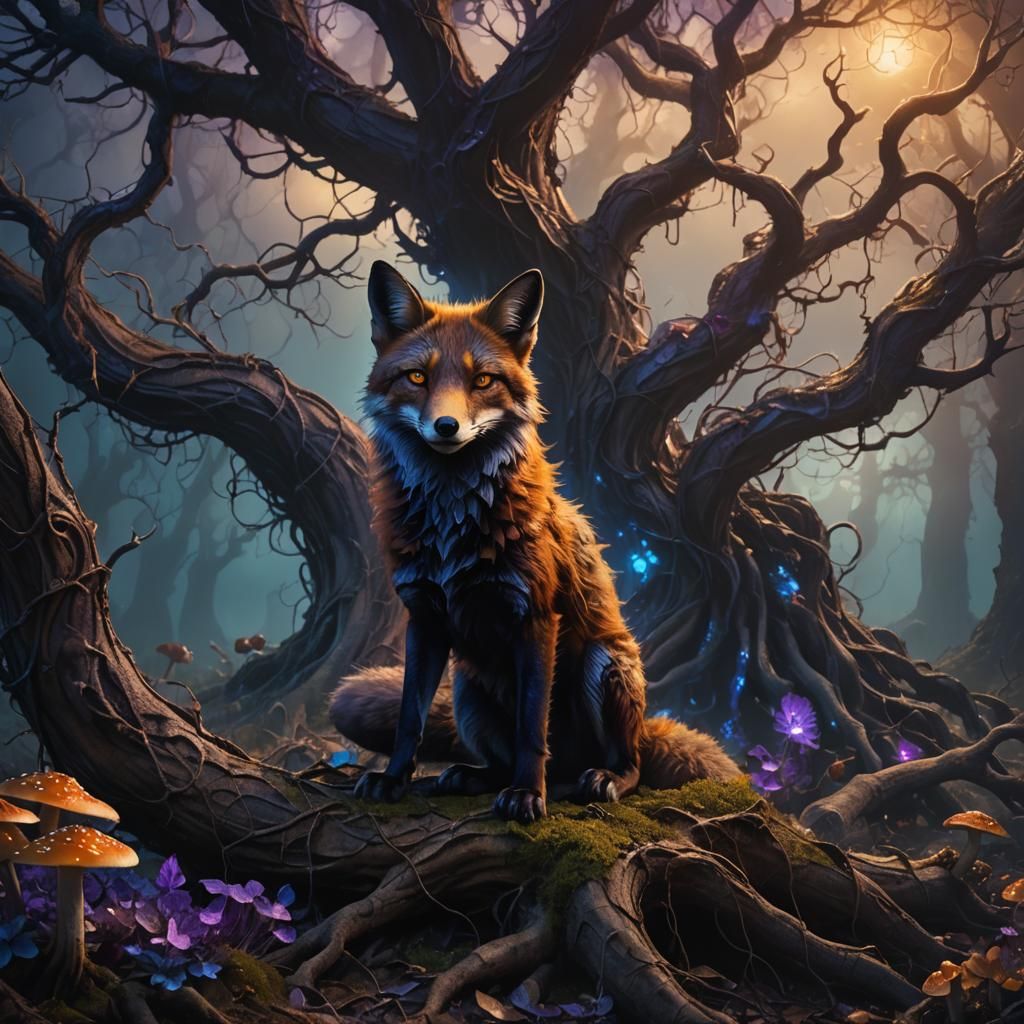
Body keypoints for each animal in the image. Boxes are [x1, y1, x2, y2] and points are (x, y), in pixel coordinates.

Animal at [331, 261, 740, 823]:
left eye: (482, 380)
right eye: (417, 377)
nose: (446, 426)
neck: (450, 519)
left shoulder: (537, 617)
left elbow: (531, 727)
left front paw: (527, 795)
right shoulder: (425, 619)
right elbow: (409, 719)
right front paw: (392, 780)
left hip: (605, 664)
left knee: (627, 765)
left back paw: (592, 781)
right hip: (467, 686)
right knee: (495, 758)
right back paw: (473, 777)